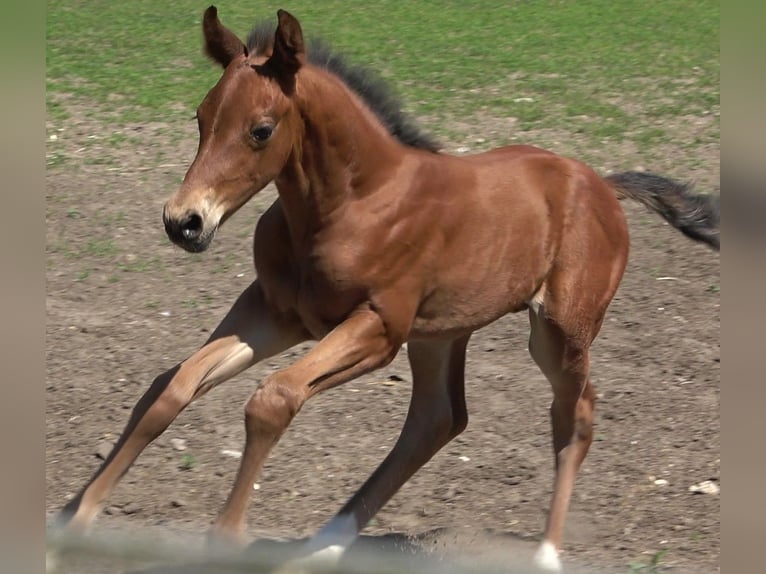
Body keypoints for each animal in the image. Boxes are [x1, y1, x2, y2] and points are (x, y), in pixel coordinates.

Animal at [52, 5, 720, 574]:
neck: (349, 205)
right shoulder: (274, 311)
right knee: (436, 419)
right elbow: (172, 386)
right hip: (440, 334)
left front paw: (226, 540)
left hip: (558, 331)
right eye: (200, 118)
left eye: (261, 130)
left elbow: (273, 399)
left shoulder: (377, 329)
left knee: (574, 414)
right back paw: (323, 545)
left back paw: (546, 553)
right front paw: (75, 521)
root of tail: (604, 185)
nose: (184, 222)